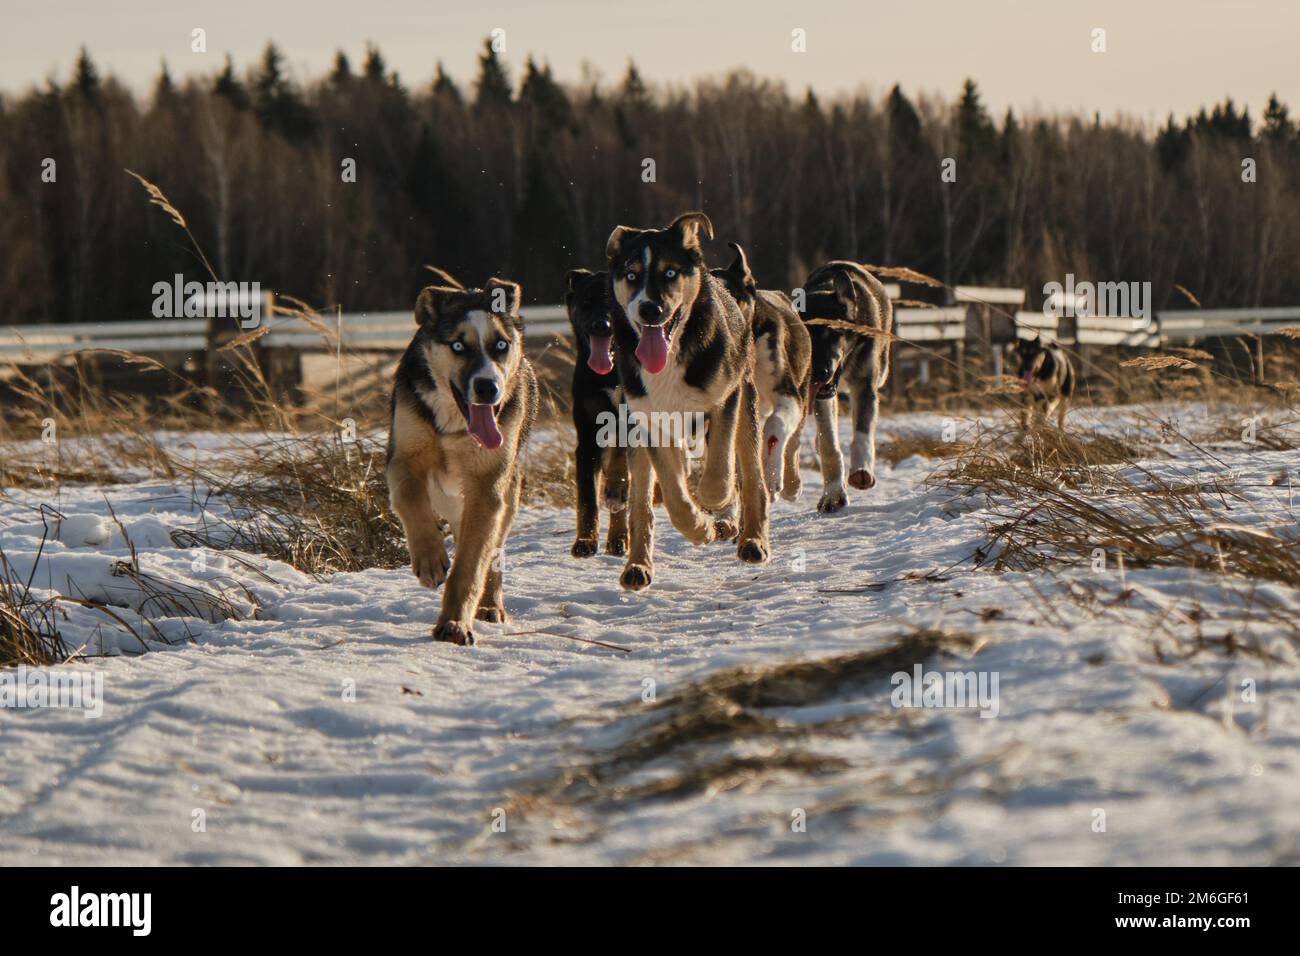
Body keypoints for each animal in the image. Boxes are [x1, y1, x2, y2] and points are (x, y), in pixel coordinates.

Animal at [382, 269, 535, 647]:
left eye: (501, 345)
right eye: (457, 346)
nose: (488, 387)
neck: (453, 424)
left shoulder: (487, 486)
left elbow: (472, 563)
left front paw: (454, 623)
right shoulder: (403, 459)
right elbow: (409, 498)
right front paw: (429, 558)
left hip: (506, 494)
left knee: (493, 549)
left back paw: (490, 605)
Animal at [603, 209, 764, 590]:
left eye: (670, 272)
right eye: (631, 274)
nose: (650, 309)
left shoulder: (727, 398)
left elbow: (719, 474)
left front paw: (716, 508)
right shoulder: (651, 423)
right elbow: (675, 499)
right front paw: (700, 527)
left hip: (746, 408)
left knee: (752, 478)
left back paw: (751, 539)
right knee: (642, 505)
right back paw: (637, 565)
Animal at [712, 243, 811, 504]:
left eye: (733, 297)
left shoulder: (786, 392)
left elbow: (776, 428)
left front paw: (772, 476)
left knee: (793, 441)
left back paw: (790, 483)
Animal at [800, 261, 894, 512]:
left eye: (832, 333)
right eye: (807, 338)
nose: (818, 373)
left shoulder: (865, 385)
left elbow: (862, 433)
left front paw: (861, 470)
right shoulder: (820, 396)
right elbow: (829, 445)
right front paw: (833, 495)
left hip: (881, 370)